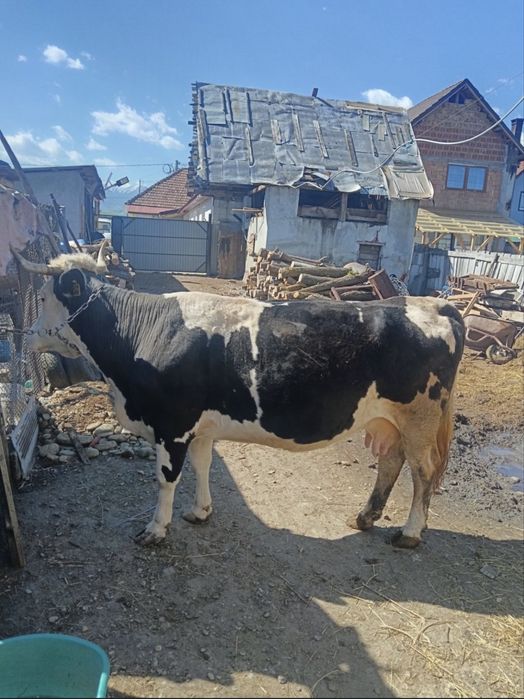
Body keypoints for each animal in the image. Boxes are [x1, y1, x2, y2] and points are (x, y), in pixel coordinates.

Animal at [12, 245, 465, 549]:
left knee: (423, 471)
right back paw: (366, 518)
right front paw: (200, 512)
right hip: (390, 419)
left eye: (47, 296)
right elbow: (203, 466)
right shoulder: (200, 427)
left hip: (419, 417)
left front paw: (156, 529)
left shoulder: (172, 424)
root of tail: (433, 304)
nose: (27, 335)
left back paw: (409, 533)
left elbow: (166, 478)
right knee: (391, 462)